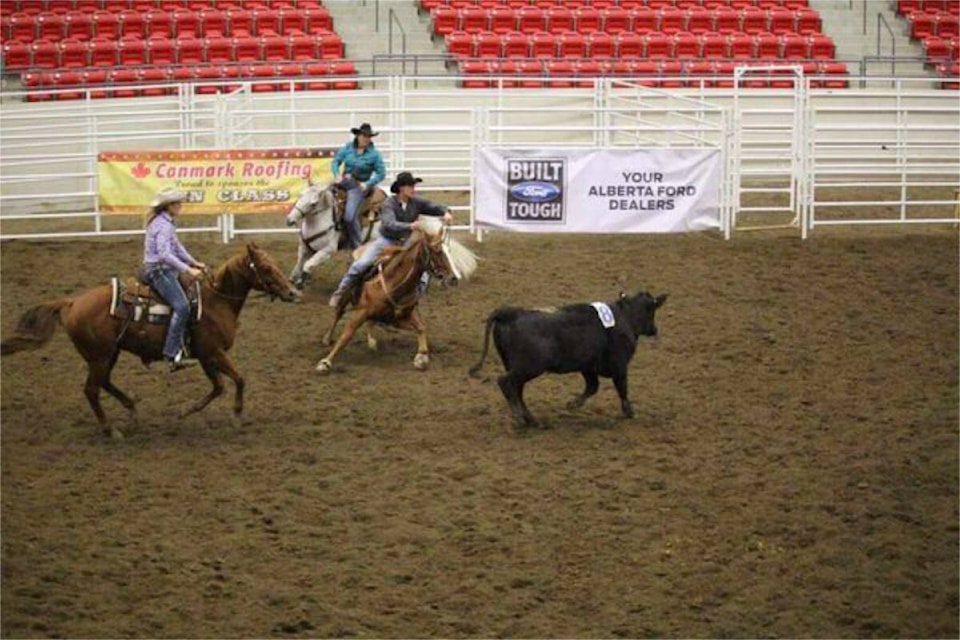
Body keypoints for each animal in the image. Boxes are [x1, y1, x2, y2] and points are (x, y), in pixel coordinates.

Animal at [0, 242, 298, 438]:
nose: (293, 292)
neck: (216, 301)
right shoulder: (213, 352)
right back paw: (111, 429)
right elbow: (238, 379)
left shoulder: (206, 357)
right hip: (99, 356)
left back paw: (132, 412)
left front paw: (186, 411)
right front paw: (236, 416)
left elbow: (219, 387)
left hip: (109, 354)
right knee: (92, 390)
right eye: (266, 268)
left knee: (103, 383)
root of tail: (72, 302)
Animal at [316, 218, 478, 372]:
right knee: (338, 313)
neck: (394, 284)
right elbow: (346, 335)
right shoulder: (362, 311)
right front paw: (325, 362)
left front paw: (422, 357)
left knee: (370, 322)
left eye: (449, 251)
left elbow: (421, 328)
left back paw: (372, 341)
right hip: (347, 294)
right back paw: (327, 338)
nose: (453, 278)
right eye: (437, 251)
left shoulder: (398, 318)